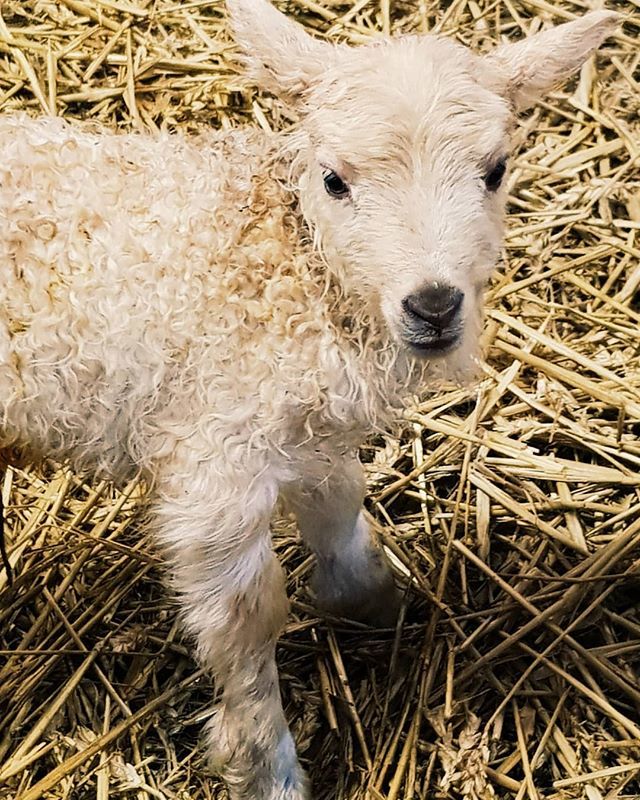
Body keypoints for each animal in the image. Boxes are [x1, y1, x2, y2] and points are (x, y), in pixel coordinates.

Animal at [0, 1, 619, 798]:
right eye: (333, 180)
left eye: (495, 171)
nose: (433, 306)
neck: (287, 265)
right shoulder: (217, 460)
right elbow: (248, 618)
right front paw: (267, 764)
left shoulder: (307, 428)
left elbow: (340, 510)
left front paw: (377, 601)